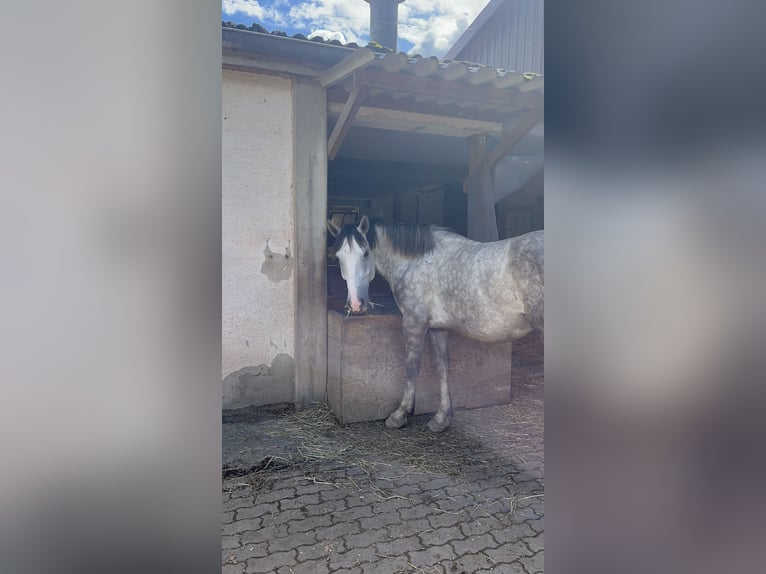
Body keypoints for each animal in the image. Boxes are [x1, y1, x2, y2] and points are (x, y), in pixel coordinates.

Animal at [327, 215, 543, 432]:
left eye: (365, 253)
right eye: (338, 257)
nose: (356, 304)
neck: (415, 262)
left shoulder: (414, 322)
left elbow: (412, 367)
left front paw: (399, 414)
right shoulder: (438, 329)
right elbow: (442, 368)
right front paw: (441, 418)